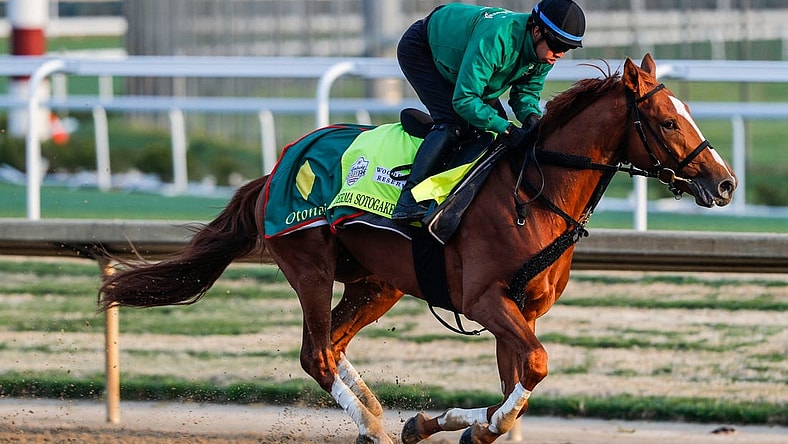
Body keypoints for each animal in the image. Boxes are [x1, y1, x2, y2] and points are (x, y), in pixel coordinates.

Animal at [99, 54, 736, 444]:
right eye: (667, 121)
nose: (725, 183)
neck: (533, 191)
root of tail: (277, 166)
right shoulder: (484, 301)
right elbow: (535, 366)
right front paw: (447, 425)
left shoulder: (520, 310)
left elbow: (514, 390)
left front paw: (444, 423)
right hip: (309, 264)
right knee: (316, 354)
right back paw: (374, 427)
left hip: (375, 283)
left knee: (331, 342)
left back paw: (376, 415)